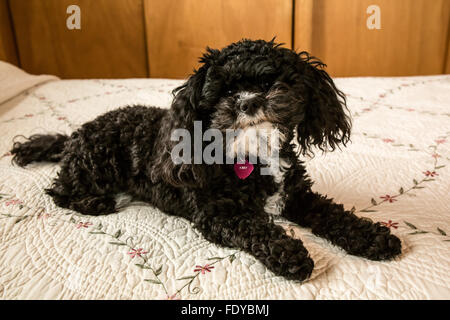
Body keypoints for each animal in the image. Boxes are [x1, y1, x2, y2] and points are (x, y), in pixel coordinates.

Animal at [10, 39, 400, 280]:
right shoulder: (219, 214)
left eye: (269, 81)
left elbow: (335, 214)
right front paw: (291, 254)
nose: (248, 101)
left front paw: (373, 237)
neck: (255, 156)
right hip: (95, 161)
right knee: (59, 189)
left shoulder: (298, 197)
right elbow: (259, 228)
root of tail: (75, 134)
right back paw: (96, 203)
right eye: (225, 90)